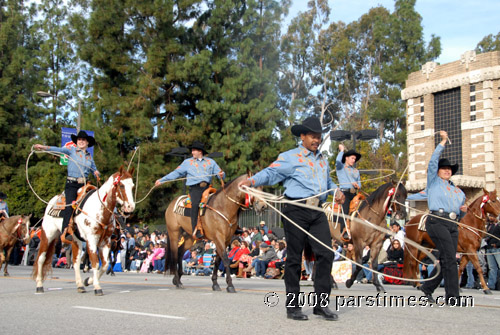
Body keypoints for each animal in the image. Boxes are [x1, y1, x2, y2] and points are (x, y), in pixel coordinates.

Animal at [32, 167, 136, 296]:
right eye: (121, 185)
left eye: (132, 186)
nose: (130, 207)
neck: (100, 210)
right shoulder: (91, 240)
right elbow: (95, 262)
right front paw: (97, 287)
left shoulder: (105, 242)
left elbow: (105, 264)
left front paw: (88, 281)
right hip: (48, 235)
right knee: (41, 258)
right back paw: (39, 285)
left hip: (76, 240)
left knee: (76, 262)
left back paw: (80, 285)